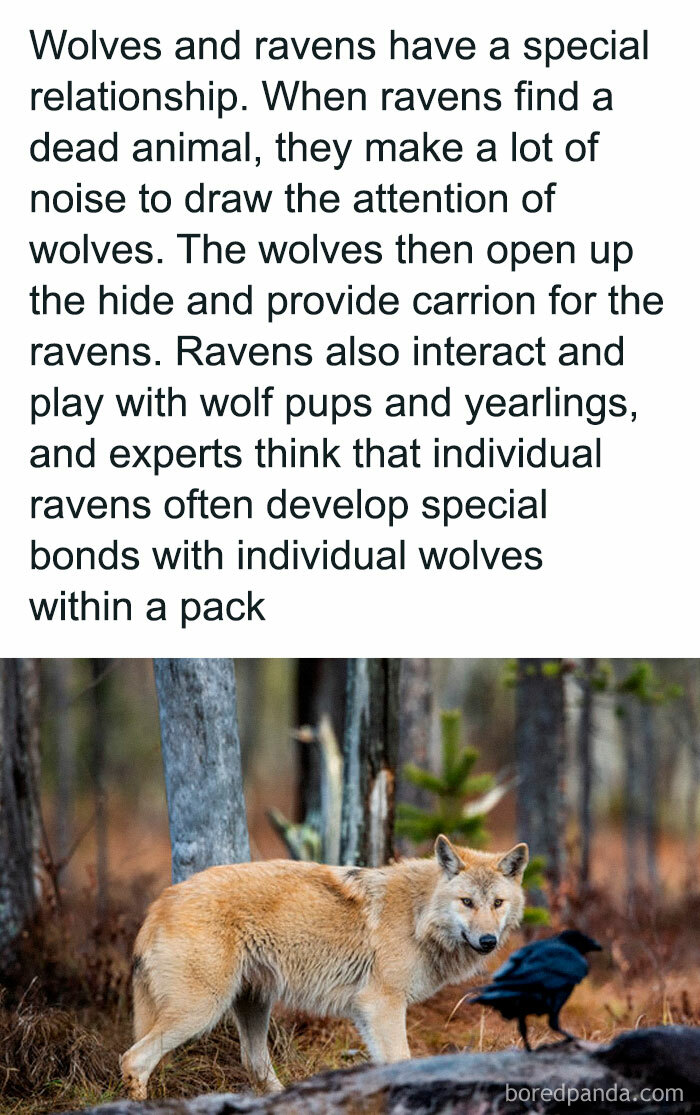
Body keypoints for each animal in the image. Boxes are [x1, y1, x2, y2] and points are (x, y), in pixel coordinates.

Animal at [121, 835, 528, 1097]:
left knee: (255, 1067)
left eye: (497, 903)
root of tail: (161, 901)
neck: (418, 915)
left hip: (253, 1006)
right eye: (467, 902)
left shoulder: (367, 1012)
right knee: (133, 1060)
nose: (488, 941)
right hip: (200, 1012)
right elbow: (401, 1061)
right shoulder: (382, 1005)